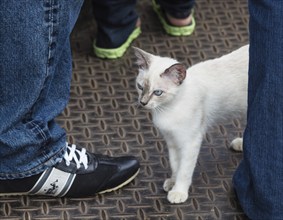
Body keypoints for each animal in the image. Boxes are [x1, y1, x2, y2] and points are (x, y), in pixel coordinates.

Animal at [134, 45, 247, 204]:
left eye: (158, 92)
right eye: (140, 87)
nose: (142, 102)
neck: (167, 109)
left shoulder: (190, 142)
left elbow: (184, 171)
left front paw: (178, 192)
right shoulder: (172, 141)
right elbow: (175, 165)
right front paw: (172, 183)